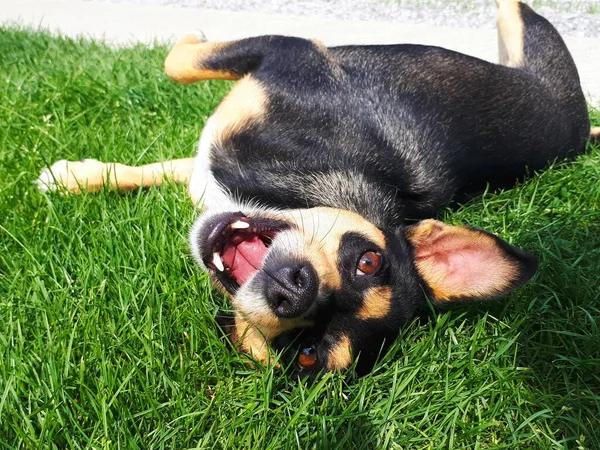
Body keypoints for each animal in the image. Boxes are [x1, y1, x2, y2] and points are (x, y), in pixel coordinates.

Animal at [37, 0, 600, 374]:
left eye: (304, 354)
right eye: (369, 261)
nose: (294, 291)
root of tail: (581, 124)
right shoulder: (285, 52)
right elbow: (178, 66)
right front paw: (77, 177)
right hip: (522, 33)